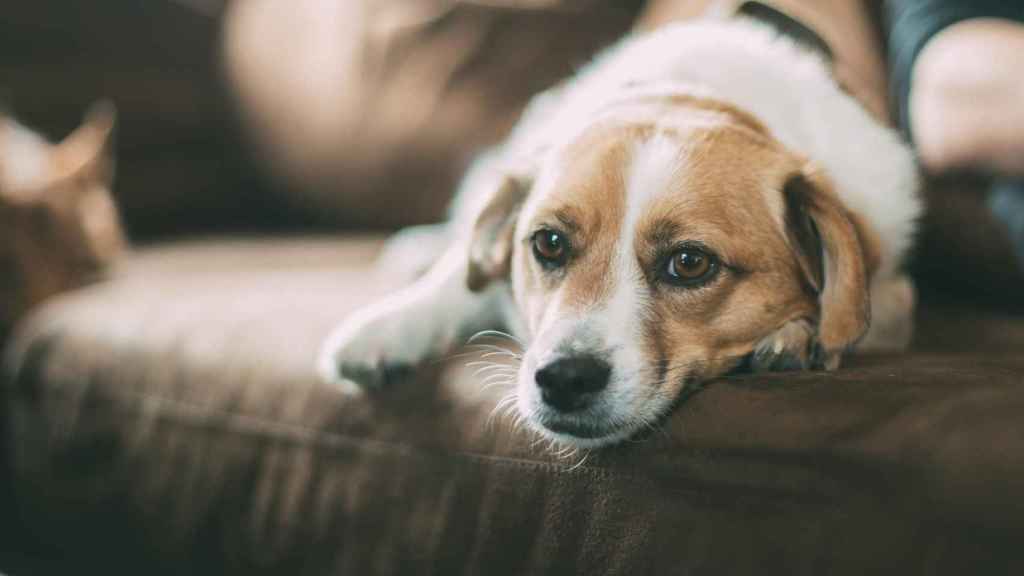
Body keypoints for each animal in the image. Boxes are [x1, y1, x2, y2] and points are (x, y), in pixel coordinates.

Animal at [317, 15, 921, 446]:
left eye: (690, 263)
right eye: (548, 243)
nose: (564, 379)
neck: (690, 94)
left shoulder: (892, 290)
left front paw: (796, 334)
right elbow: (457, 279)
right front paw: (389, 326)